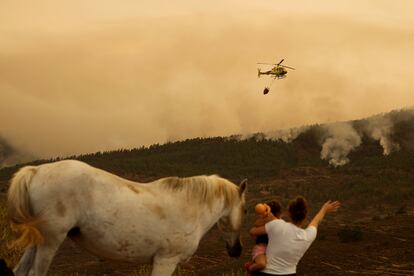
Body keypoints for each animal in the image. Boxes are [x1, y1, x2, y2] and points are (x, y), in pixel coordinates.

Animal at [8, 160, 247, 276]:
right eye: (245, 210)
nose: (237, 250)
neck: (189, 207)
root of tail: (36, 171)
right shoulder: (165, 261)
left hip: (37, 241)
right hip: (50, 241)